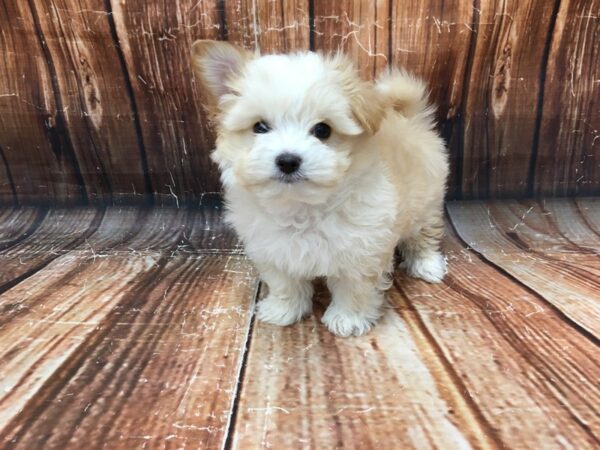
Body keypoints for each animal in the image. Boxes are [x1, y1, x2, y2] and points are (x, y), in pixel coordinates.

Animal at [190, 41, 448, 338]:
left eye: (323, 130)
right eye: (260, 127)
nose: (288, 160)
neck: (302, 209)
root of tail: (411, 120)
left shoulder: (361, 252)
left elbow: (354, 289)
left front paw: (348, 319)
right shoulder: (274, 251)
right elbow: (285, 284)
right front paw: (284, 310)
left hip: (427, 203)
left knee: (424, 236)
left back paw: (427, 265)